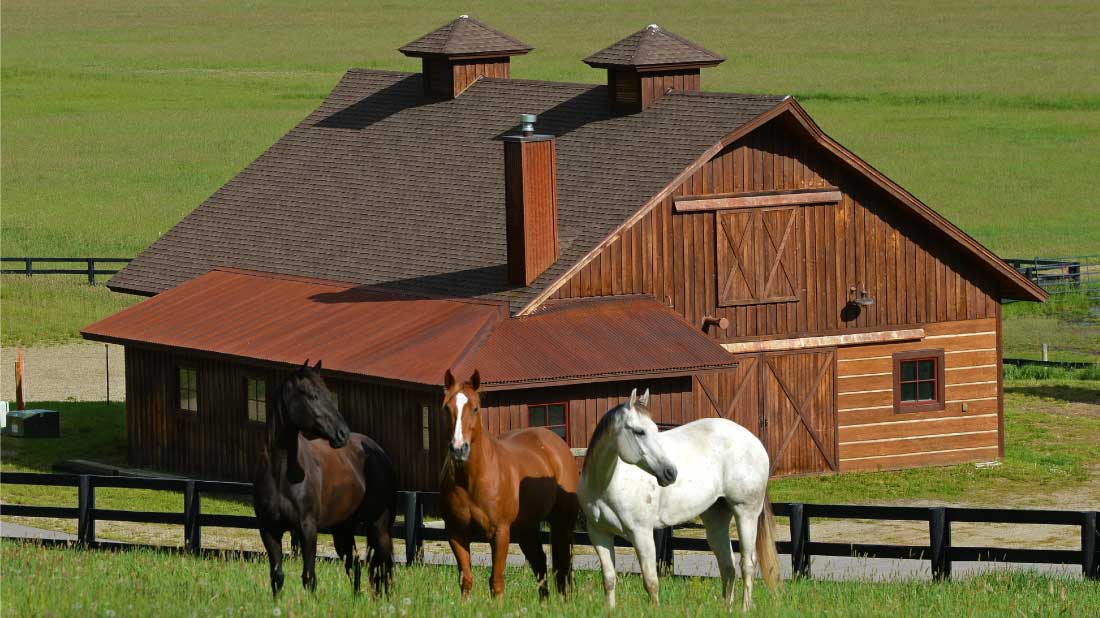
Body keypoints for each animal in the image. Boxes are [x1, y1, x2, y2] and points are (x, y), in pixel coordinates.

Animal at [254, 358, 400, 593]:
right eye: (313, 395)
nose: (342, 433)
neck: (281, 474)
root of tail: (379, 453)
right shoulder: (269, 530)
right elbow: (277, 577)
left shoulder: (307, 529)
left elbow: (309, 577)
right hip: (342, 530)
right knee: (354, 566)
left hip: (379, 527)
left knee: (383, 568)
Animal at [437, 367, 580, 598]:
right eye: (446, 408)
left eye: (475, 408)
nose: (459, 449)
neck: (471, 480)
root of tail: (557, 445)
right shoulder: (456, 533)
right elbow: (466, 580)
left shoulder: (500, 532)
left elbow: (496, 581)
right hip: (526, 528)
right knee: (540, 564)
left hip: (561, 522)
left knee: (563, 569)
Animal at [576, 387, 783, 607]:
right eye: (639, 431)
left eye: (655, 430)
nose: (670, 472)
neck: (605, 484)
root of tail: (755, 441)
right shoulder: (599, 534)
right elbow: (609, 579)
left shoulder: (641, 533)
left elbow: (651, 582)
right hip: (716, 518)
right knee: (728, 565)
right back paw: (727, 608)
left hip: (746, 513)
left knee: (748, 564)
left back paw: (744, 609)